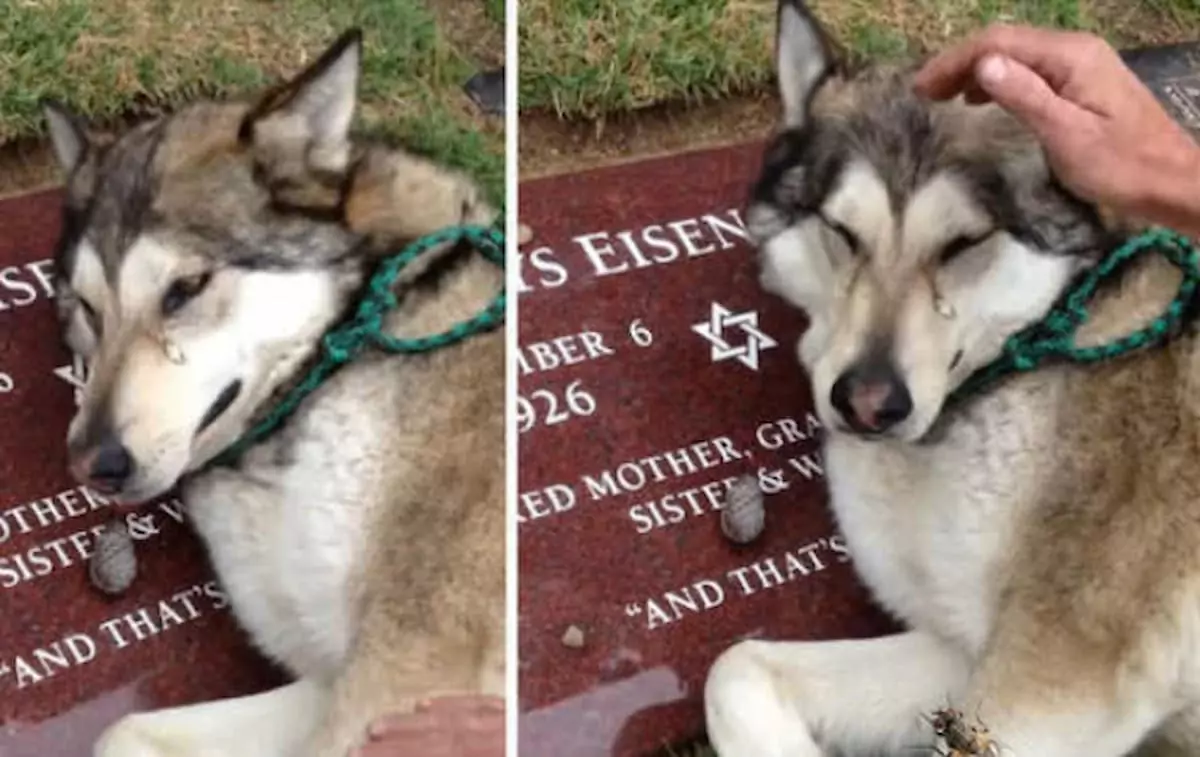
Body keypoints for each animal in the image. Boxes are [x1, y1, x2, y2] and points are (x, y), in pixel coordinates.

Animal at [45, 29, 506, 757]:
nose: (93, 464)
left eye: (185, 289)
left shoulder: (403, 673)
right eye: (88, 308)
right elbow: (122, 729)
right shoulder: (330, 681)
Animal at [700, 1, 1200, 757]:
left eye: (964, 243)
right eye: (842, 231)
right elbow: (733, 665)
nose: (867, 404)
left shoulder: (1051, 692)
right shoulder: (959, 650)